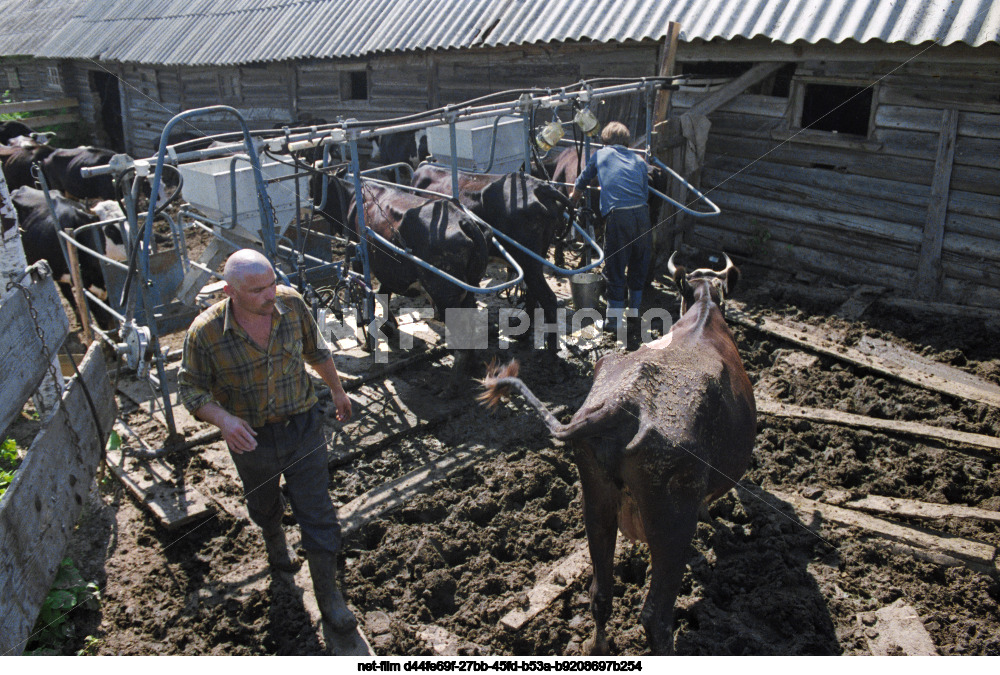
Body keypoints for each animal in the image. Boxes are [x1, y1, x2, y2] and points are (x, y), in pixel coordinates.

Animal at [480, 252, 752, 656]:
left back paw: (597, 647)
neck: (704, 307)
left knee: (600, 594)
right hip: (672, 523)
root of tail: (625, 402)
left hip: (597, 502)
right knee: (655, 616)